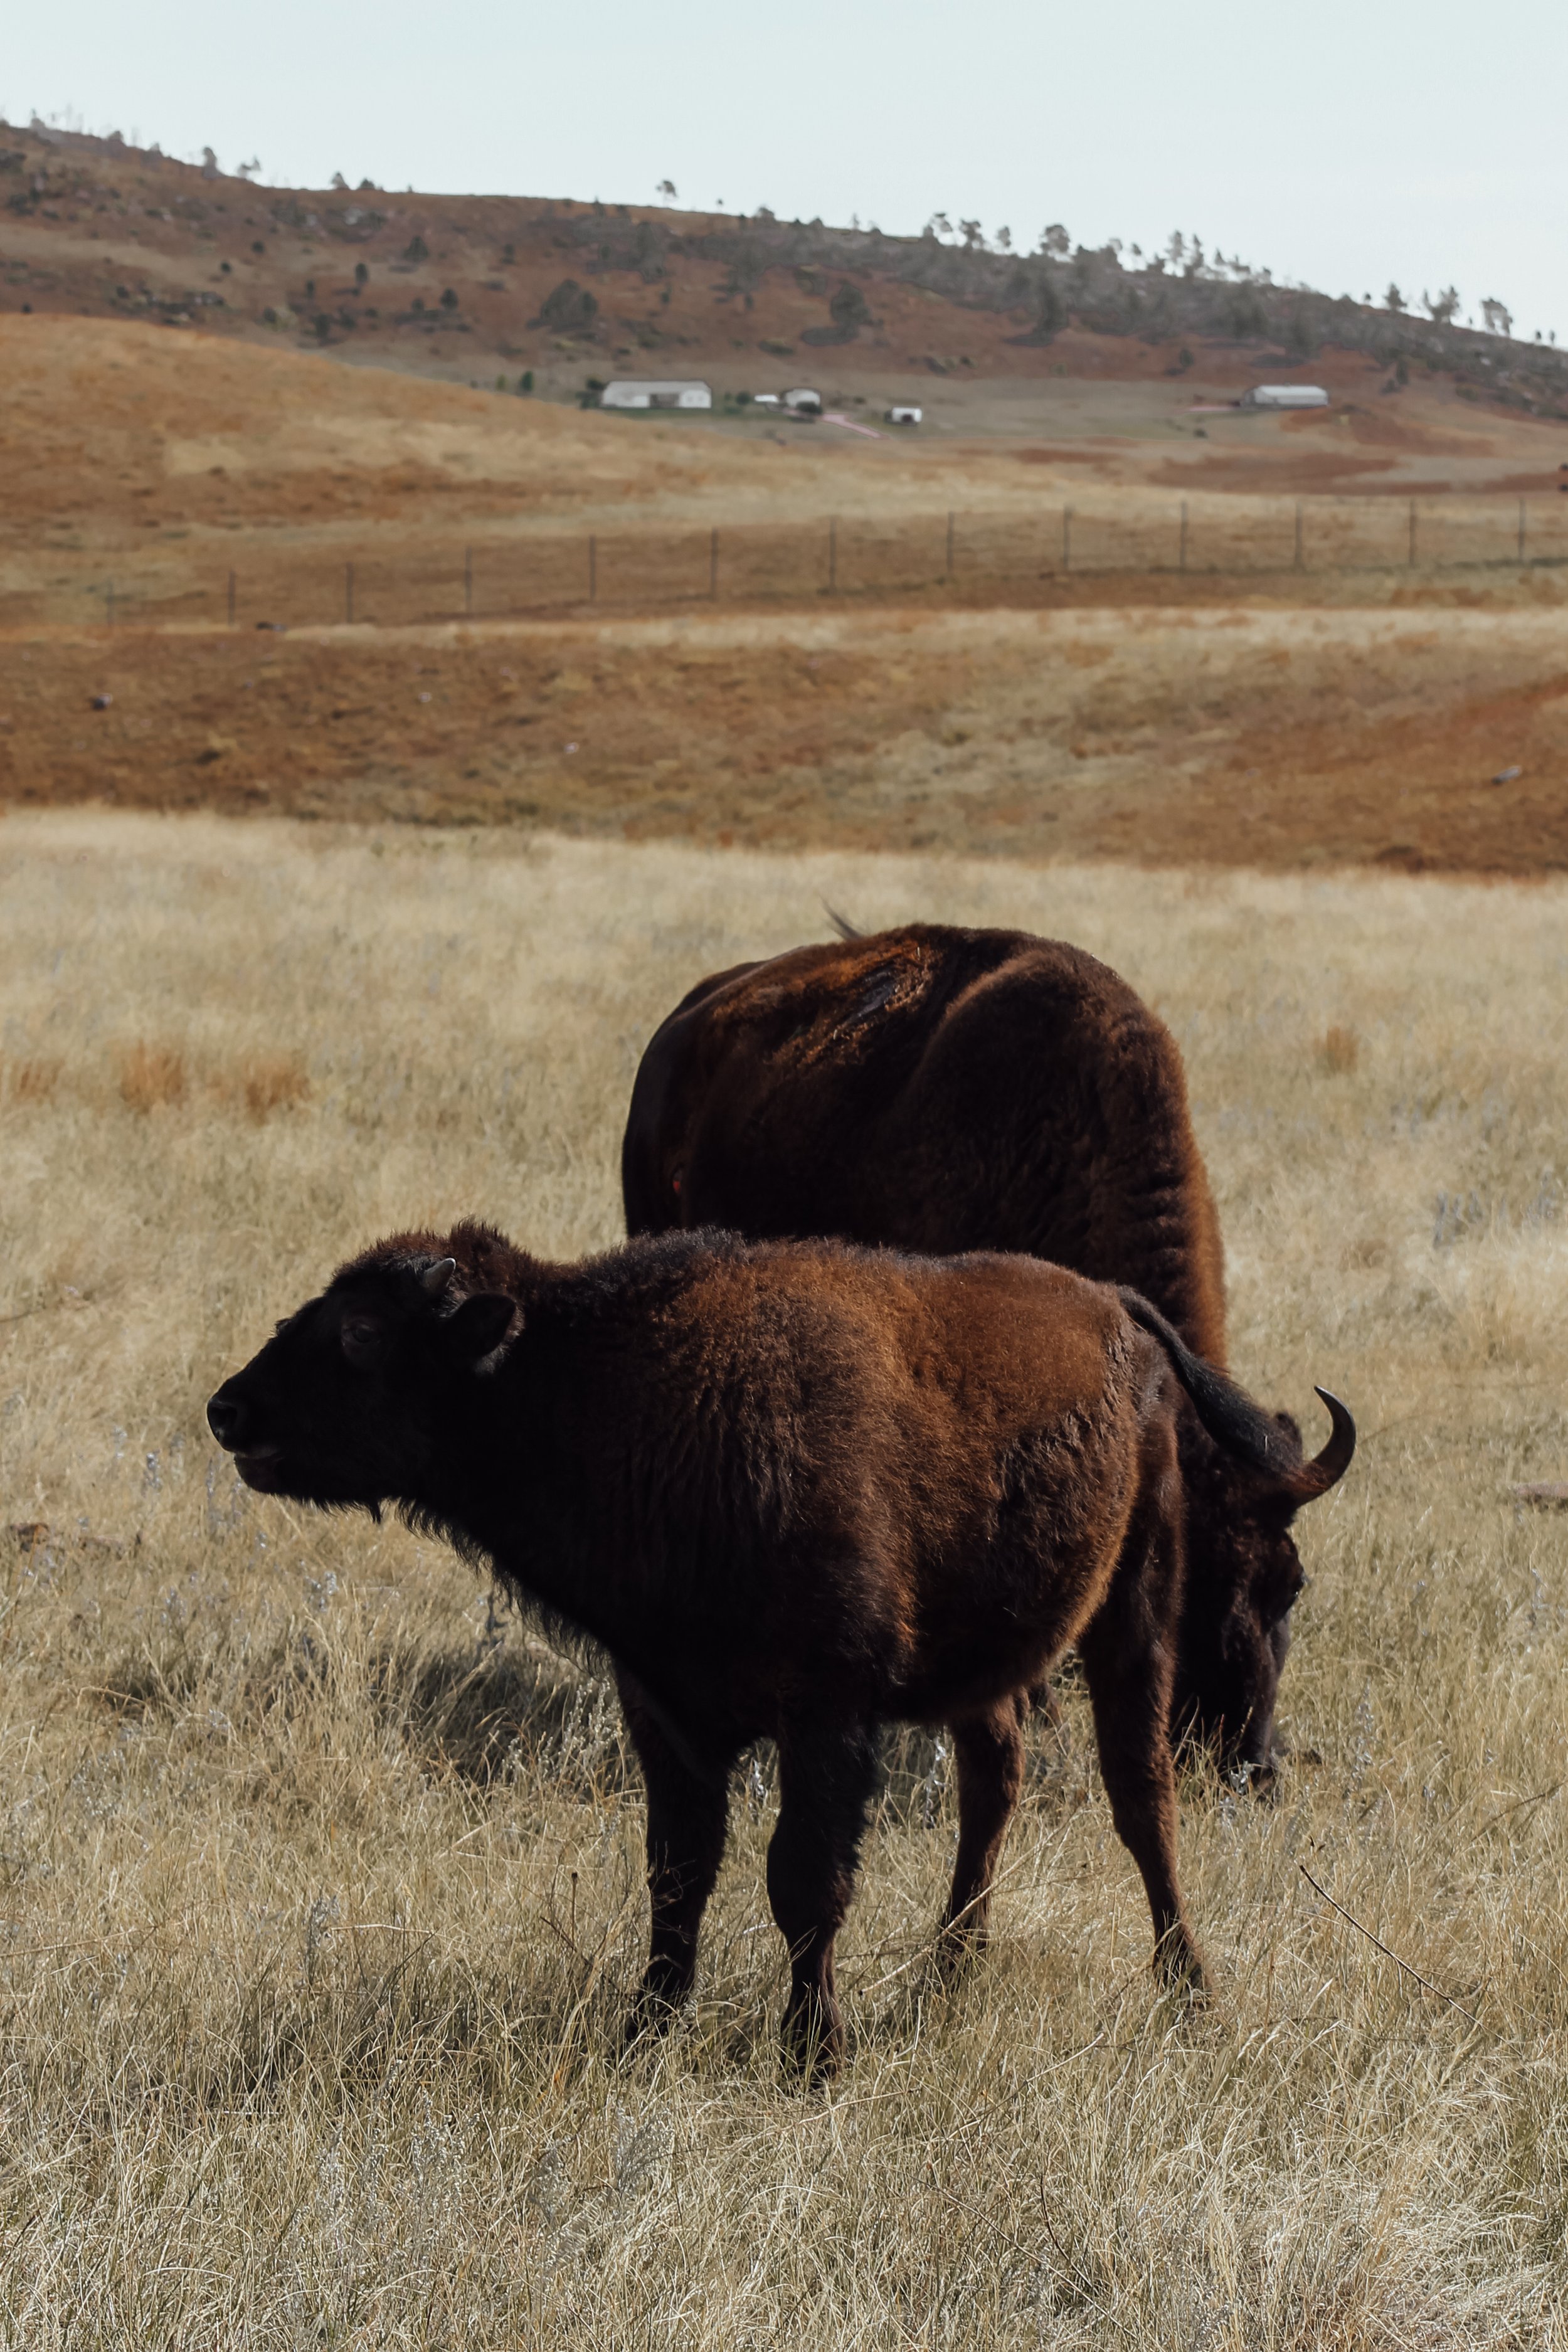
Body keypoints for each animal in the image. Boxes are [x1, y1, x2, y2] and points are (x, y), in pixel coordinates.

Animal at [208, 1223, 1353, 2070]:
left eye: (362, 1330)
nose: (228, 1409)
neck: (587, 1375)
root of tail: (1115, 1307)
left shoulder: (826, 1719)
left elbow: (803, 1882)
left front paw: (813, 2053)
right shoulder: (665, 1714)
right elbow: (678, 1875)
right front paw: (645, 2032)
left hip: (1135, 1609)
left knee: (1139, 1797)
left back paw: (1188, 1990)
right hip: (987, 1668)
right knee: (994, 1785)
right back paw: (950, 1972)